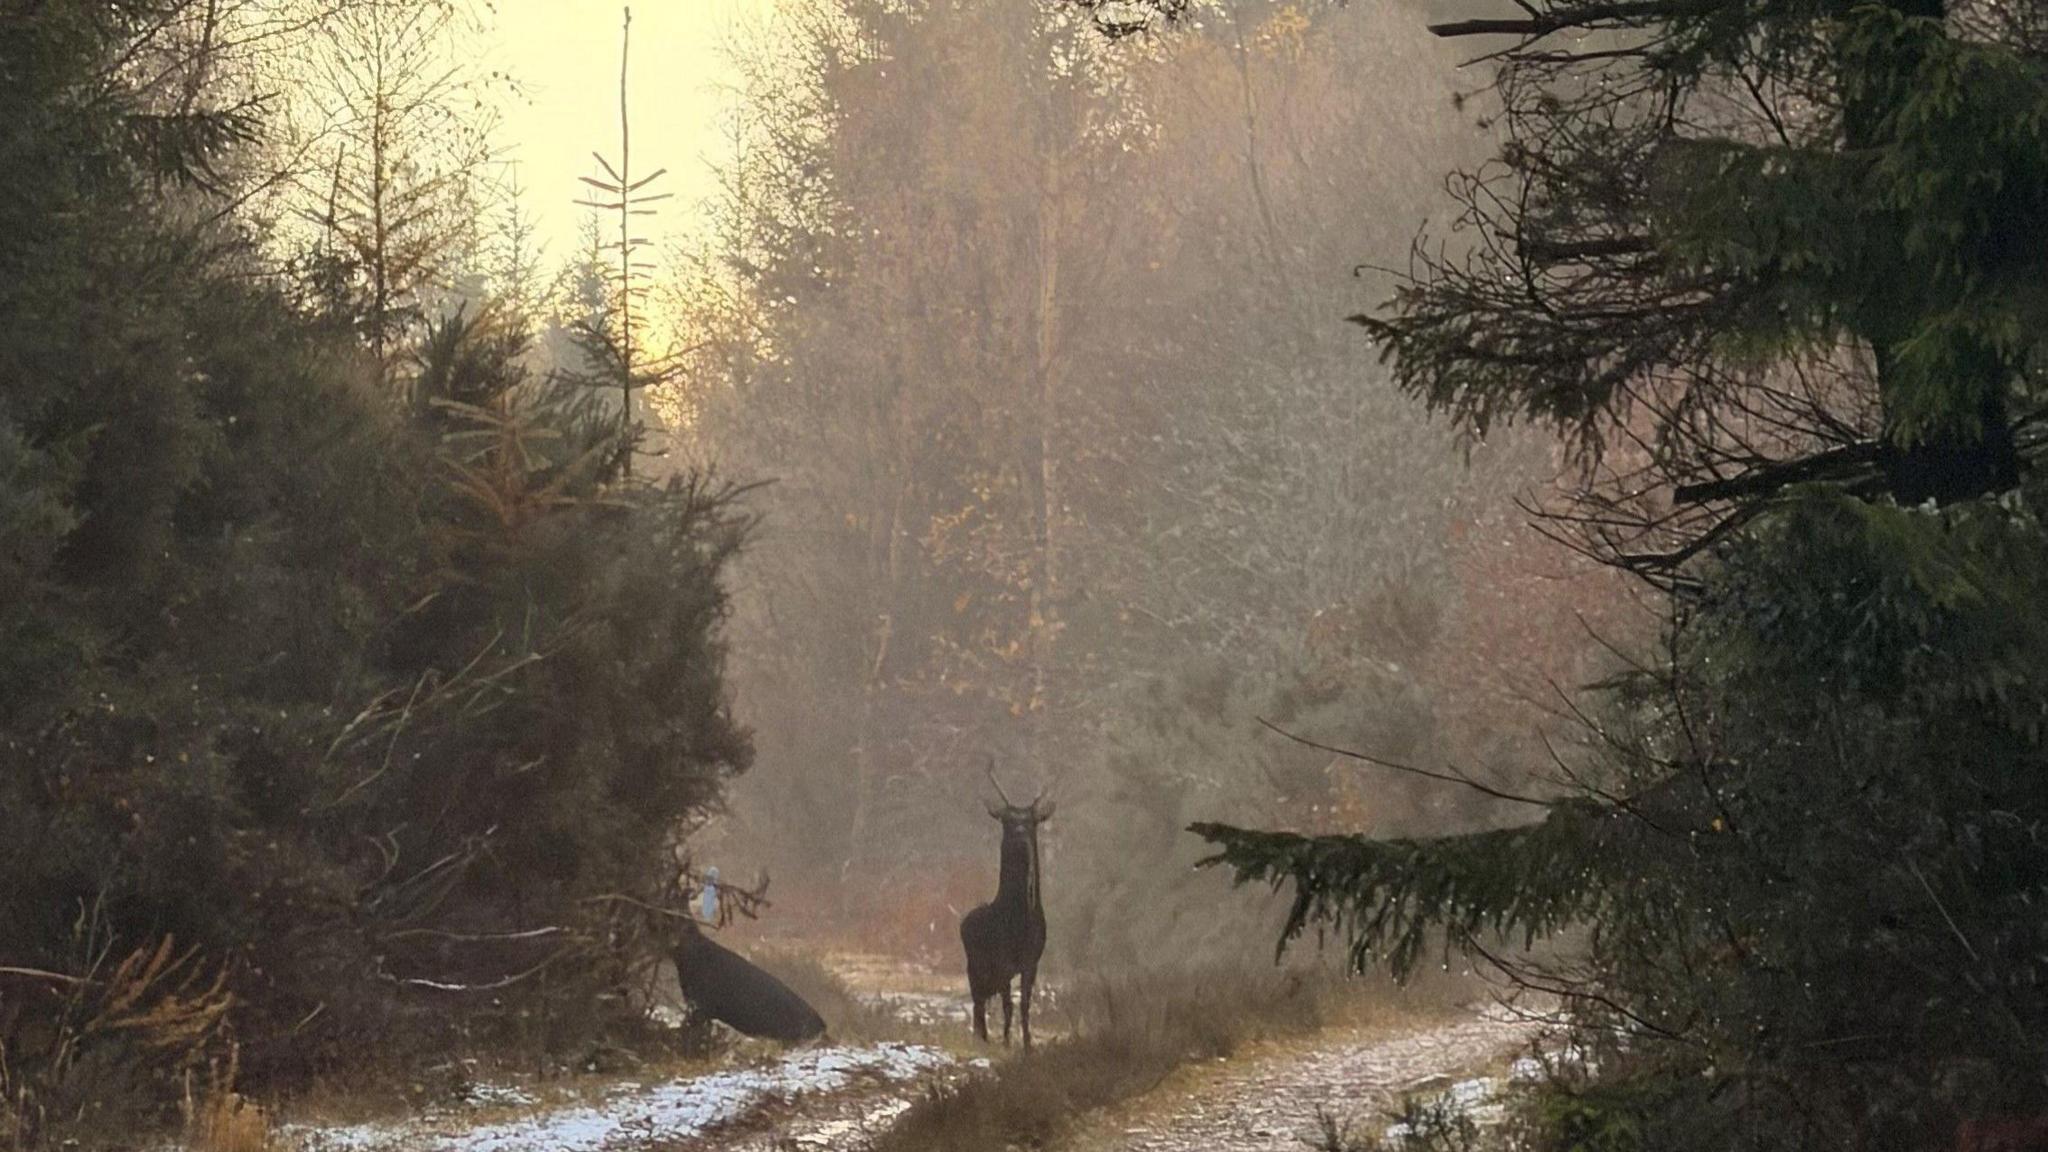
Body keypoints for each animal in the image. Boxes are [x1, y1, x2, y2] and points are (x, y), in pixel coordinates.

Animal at [959, 761, 1052, 1049]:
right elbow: (1008, 1005)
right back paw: (982, 1036)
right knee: (978, 1003)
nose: (1020, 835)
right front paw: (1007, 1042)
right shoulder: (1001, 961)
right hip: (973, 966)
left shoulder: (1032, 960)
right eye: (1007, 820)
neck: (1018, 922)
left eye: (1031, 821)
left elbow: (1024, 1005)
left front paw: (1028, 1044)